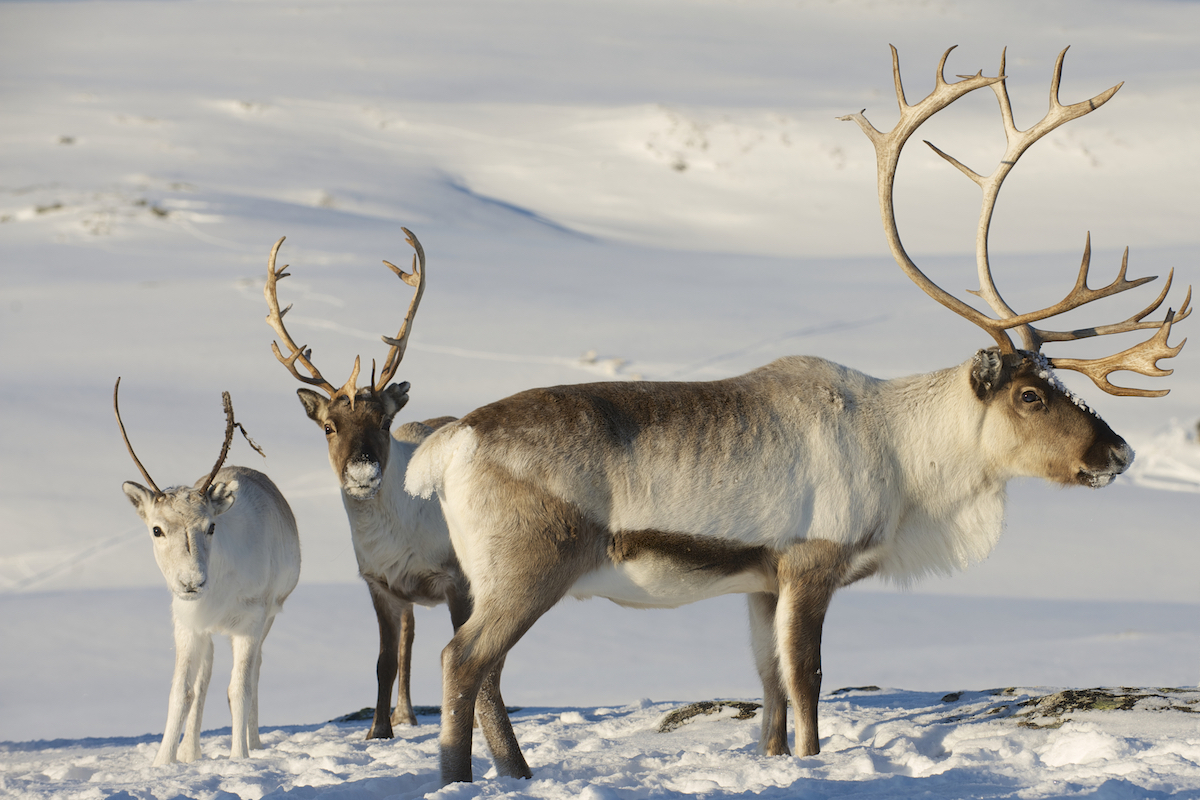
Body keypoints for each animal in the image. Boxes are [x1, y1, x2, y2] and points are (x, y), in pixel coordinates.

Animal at [115, 380, 301, 765]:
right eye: (156, 529)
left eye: (211, 526)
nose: (191, 582)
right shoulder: (186, 623)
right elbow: (181, 691)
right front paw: (163, 761)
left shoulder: (251, 621)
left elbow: (239, 690)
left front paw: (239, 757)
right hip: (207, 631)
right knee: (204, 678)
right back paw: (190, 752)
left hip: (267, 618)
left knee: (254, 673)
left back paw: (254, 743)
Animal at [264, 229, 487, 741]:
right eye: (329, 427)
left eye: (384, 422)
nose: (363, 473)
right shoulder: (379, 583)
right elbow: (384, 660)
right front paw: (377, 730)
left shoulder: (455, 579)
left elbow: (461, 651)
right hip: (406, 599)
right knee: (407, 643)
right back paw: (405, 715)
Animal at [404, 47, 1190, 784]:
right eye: (1031, 396)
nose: (1118, 453)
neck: (907, 458)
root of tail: (451, 441)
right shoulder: (812, 563)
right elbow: (807, 680)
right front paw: (813, 762)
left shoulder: (760, 581)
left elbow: (769, 692)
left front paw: (775, 761)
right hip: (529, 568)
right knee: (462, 661)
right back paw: (461, 778)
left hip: (487, 578)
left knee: (489, 674)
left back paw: (518, 773)